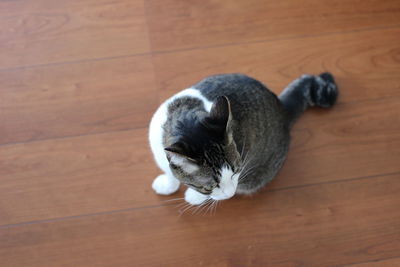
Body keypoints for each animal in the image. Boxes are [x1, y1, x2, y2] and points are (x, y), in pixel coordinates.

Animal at [148, 73, 336, 205]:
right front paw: (168, 183)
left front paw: (193, 196)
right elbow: (170, 172)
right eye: (210, 186)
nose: (230, 194)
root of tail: (282, 108)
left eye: (237, 171)